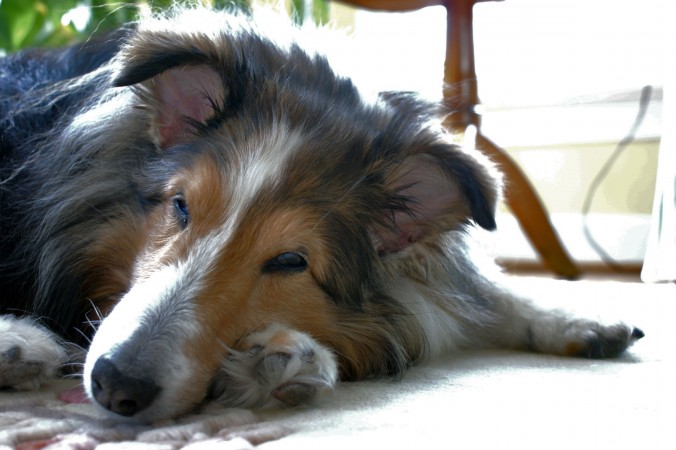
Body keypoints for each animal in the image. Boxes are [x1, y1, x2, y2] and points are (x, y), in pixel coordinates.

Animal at [1, 6, 644, 422]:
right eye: (180, 206)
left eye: (291, 261)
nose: (117, 384)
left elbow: (486, 291)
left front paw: (580, 318)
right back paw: (21, 344)